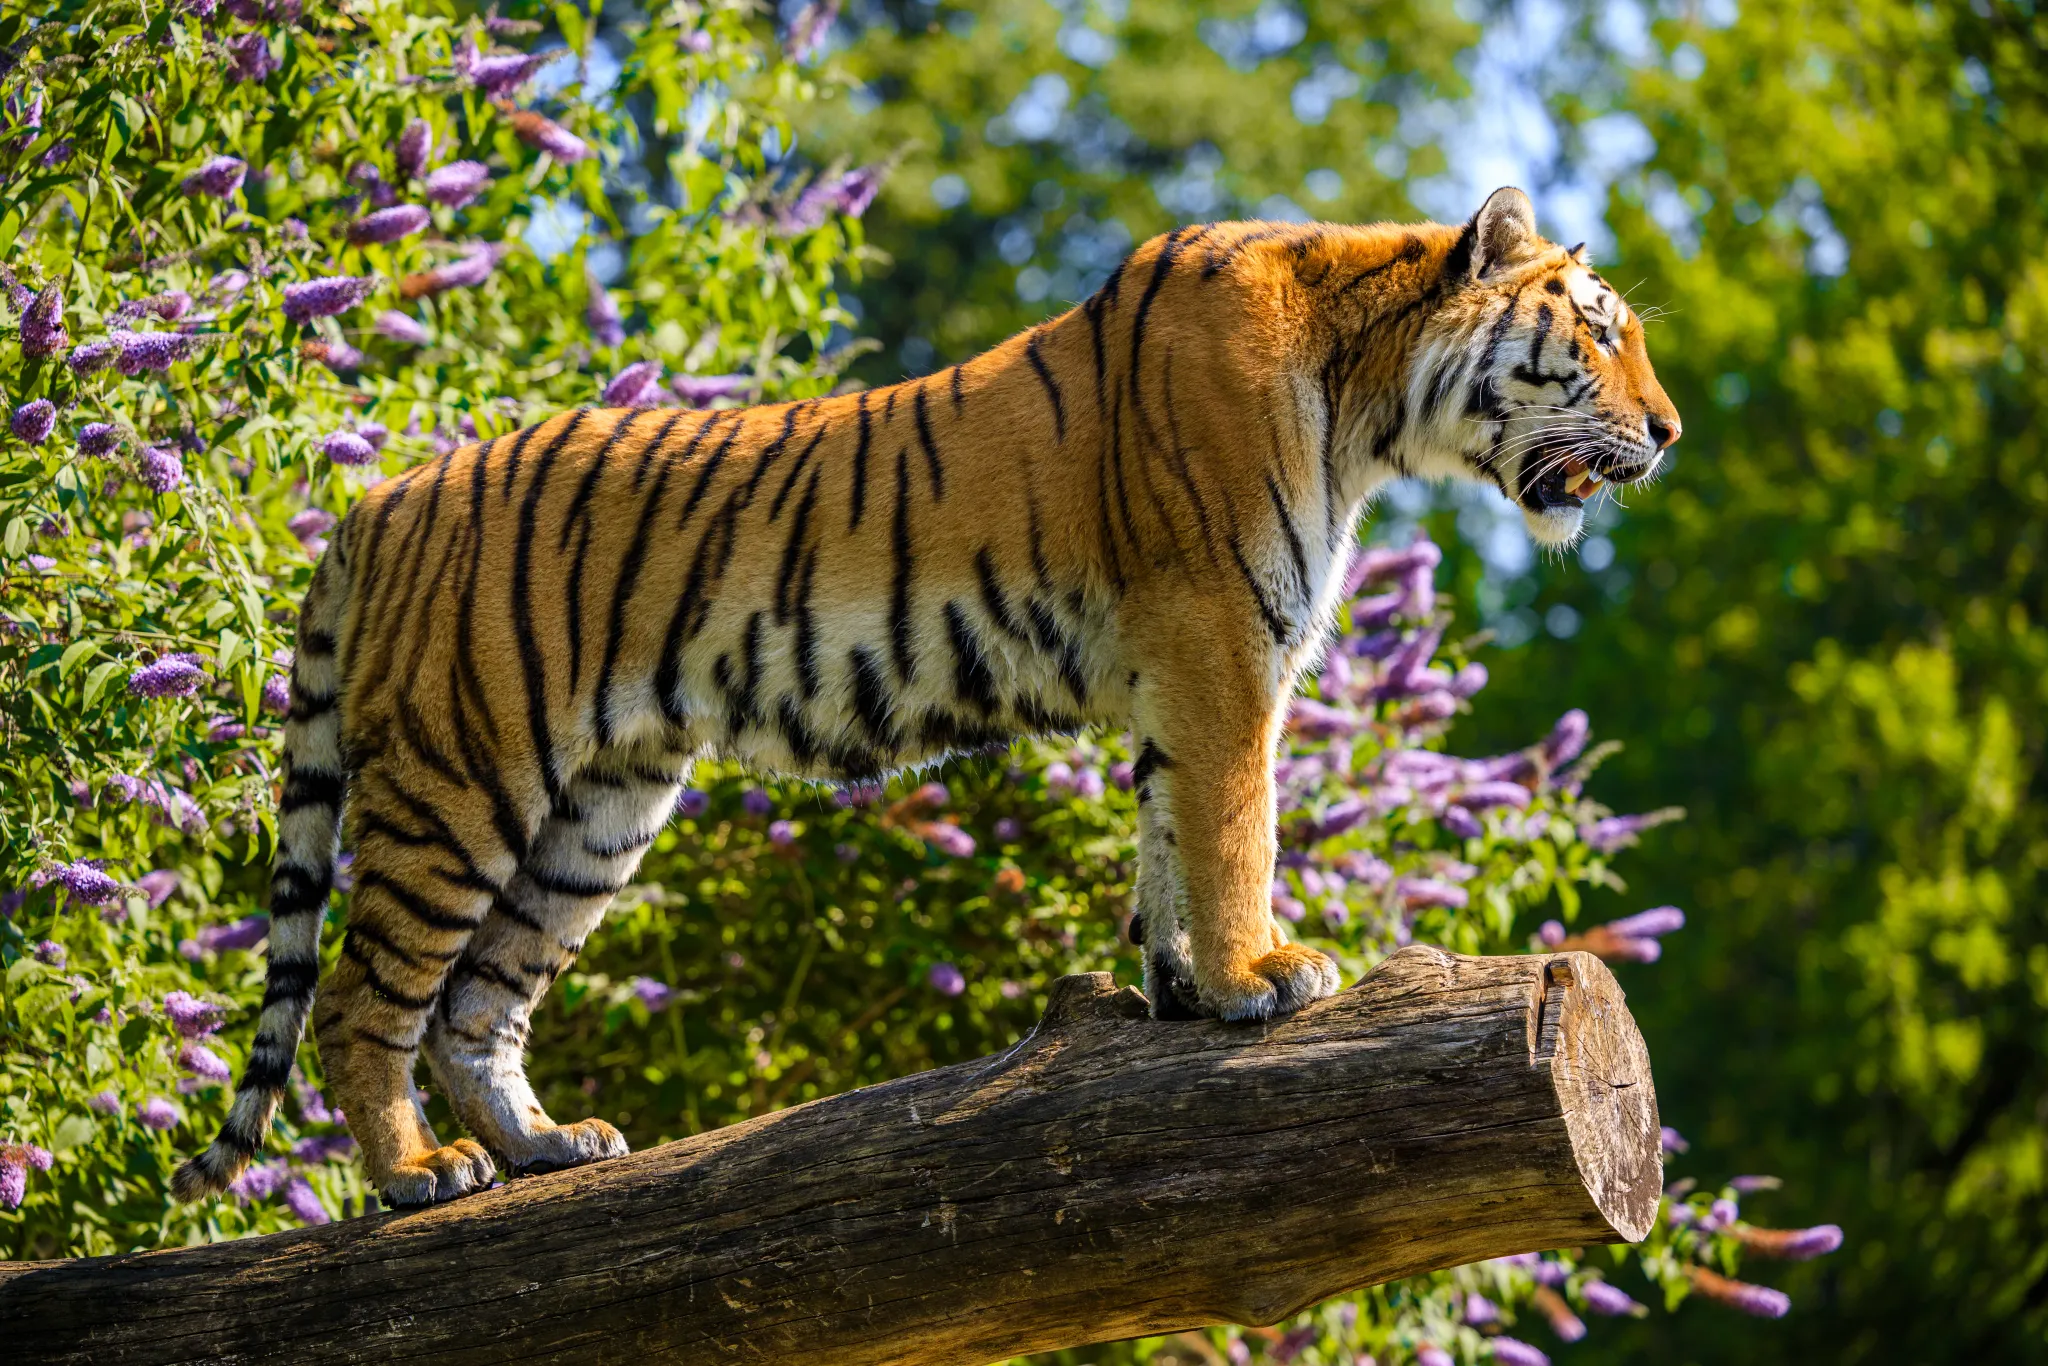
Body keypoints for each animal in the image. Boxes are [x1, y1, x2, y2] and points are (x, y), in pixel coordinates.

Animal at [174, 186, 1681, 1208]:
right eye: (1598, 335)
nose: (1667, 431)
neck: (1369, 401)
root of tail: (379, 499)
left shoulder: (1178, 668)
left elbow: (1167, 836)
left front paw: (1185, 991)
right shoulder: (1218, 643)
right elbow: (1234, 827)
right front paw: (1261, 975)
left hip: (598, 808)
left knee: (478, 1001)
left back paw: (546, 1146)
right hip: (463, 774)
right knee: (362, 996)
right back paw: (420, 1171)